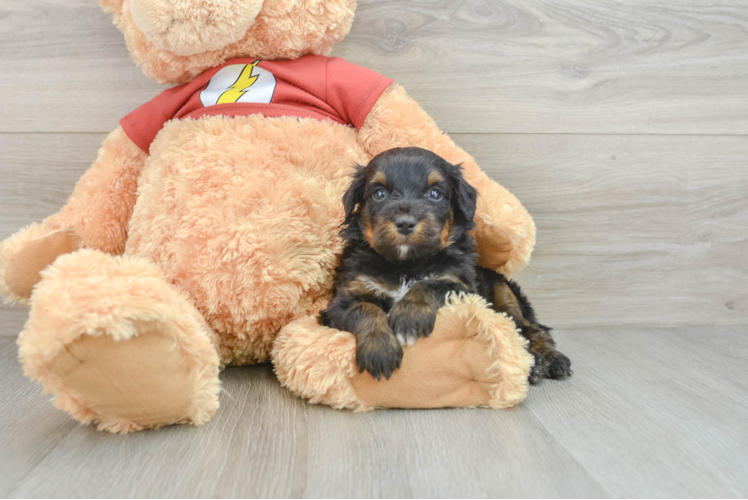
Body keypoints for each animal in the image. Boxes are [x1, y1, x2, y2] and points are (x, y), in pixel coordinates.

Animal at [318, 147, 568, 382]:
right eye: (379, 193)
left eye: (434, 193)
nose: (405, 223)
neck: (406, 264)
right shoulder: (344, 298)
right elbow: (365, 309)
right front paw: (379, 351)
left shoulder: (463, 287)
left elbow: (430, 284)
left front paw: (409, 317)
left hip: (504, 293)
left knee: (529, 327)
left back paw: (549, 360)